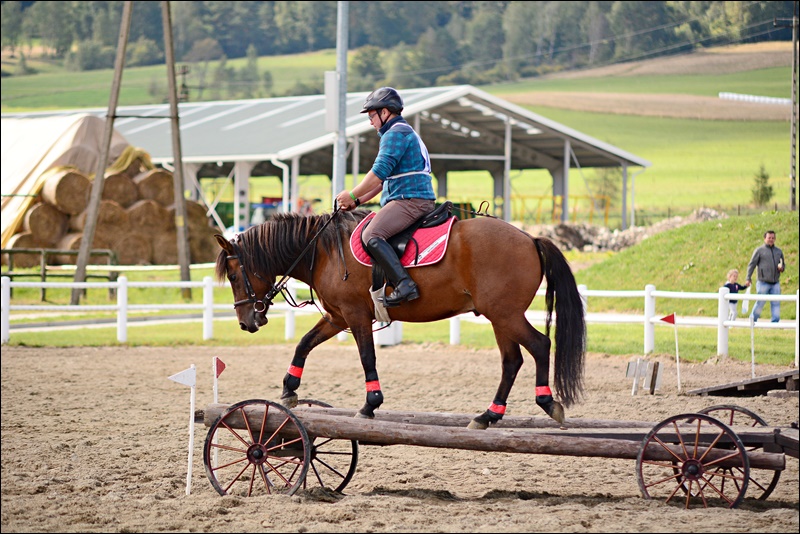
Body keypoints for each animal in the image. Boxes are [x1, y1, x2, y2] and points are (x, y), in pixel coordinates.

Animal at [216, 210, 584, 432]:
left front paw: (370, 404)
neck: (322, 250)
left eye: (233, 275)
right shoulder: (337, 317)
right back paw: (488, 415)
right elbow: (304, 343)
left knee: (540, 345)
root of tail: (530, 238)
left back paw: (547, 403)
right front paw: (289, 389)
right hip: (499, 318)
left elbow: (367, 357)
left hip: (505, 314)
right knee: (512, 361)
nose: (246, 322)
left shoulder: (355, 315)